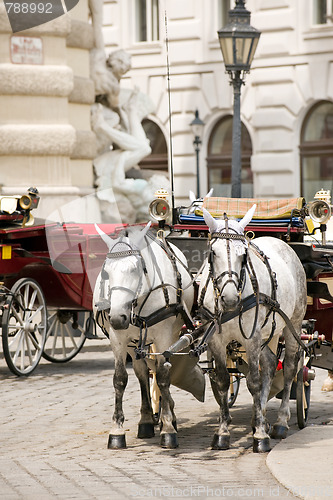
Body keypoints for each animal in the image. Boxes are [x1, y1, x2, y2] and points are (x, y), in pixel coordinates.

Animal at [92, 224, 201, 450]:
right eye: (106, 271)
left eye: (136, 269)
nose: (118, 317)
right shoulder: (118, 339)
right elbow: (120, 379)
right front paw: (117, 431)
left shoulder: (164, 336)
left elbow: (163, 377)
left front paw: (168, 428)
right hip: (134, 344)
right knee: (142, 373)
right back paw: (146, 421)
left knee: (162, 371)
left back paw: (169, 418)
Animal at [198, 206, 308, 454]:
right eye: (213, 253)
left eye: (244, 256)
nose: (229, 298)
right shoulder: (216, 340)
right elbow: (222, 380)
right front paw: (222, 433)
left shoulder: (252, 339)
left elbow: (254, 382)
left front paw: (260, 436)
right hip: (269, 332)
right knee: (269, 364)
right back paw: (263, 417)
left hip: (292, 324)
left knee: (289, 368)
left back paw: (279, 423)